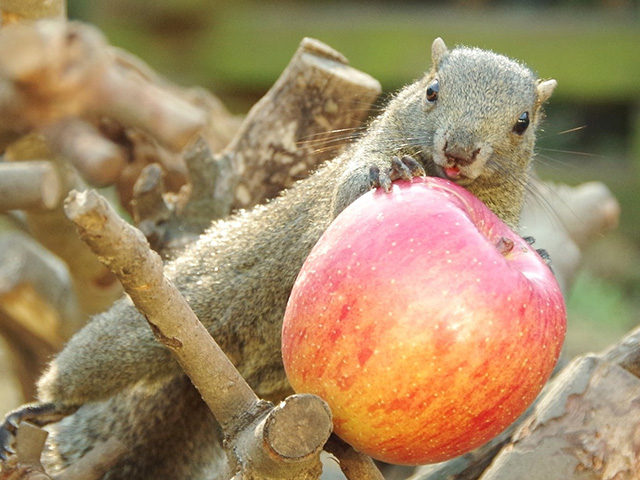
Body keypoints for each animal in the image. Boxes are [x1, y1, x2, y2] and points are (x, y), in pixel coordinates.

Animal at [1, 39, 556, 478]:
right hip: (167, 313)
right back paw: (43, 406)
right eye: (432, 91)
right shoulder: (343, 185)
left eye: (523, 123)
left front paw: (538, 245)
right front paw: (389, 167)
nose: (460, 151)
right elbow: (350, 189)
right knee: (89, 366)